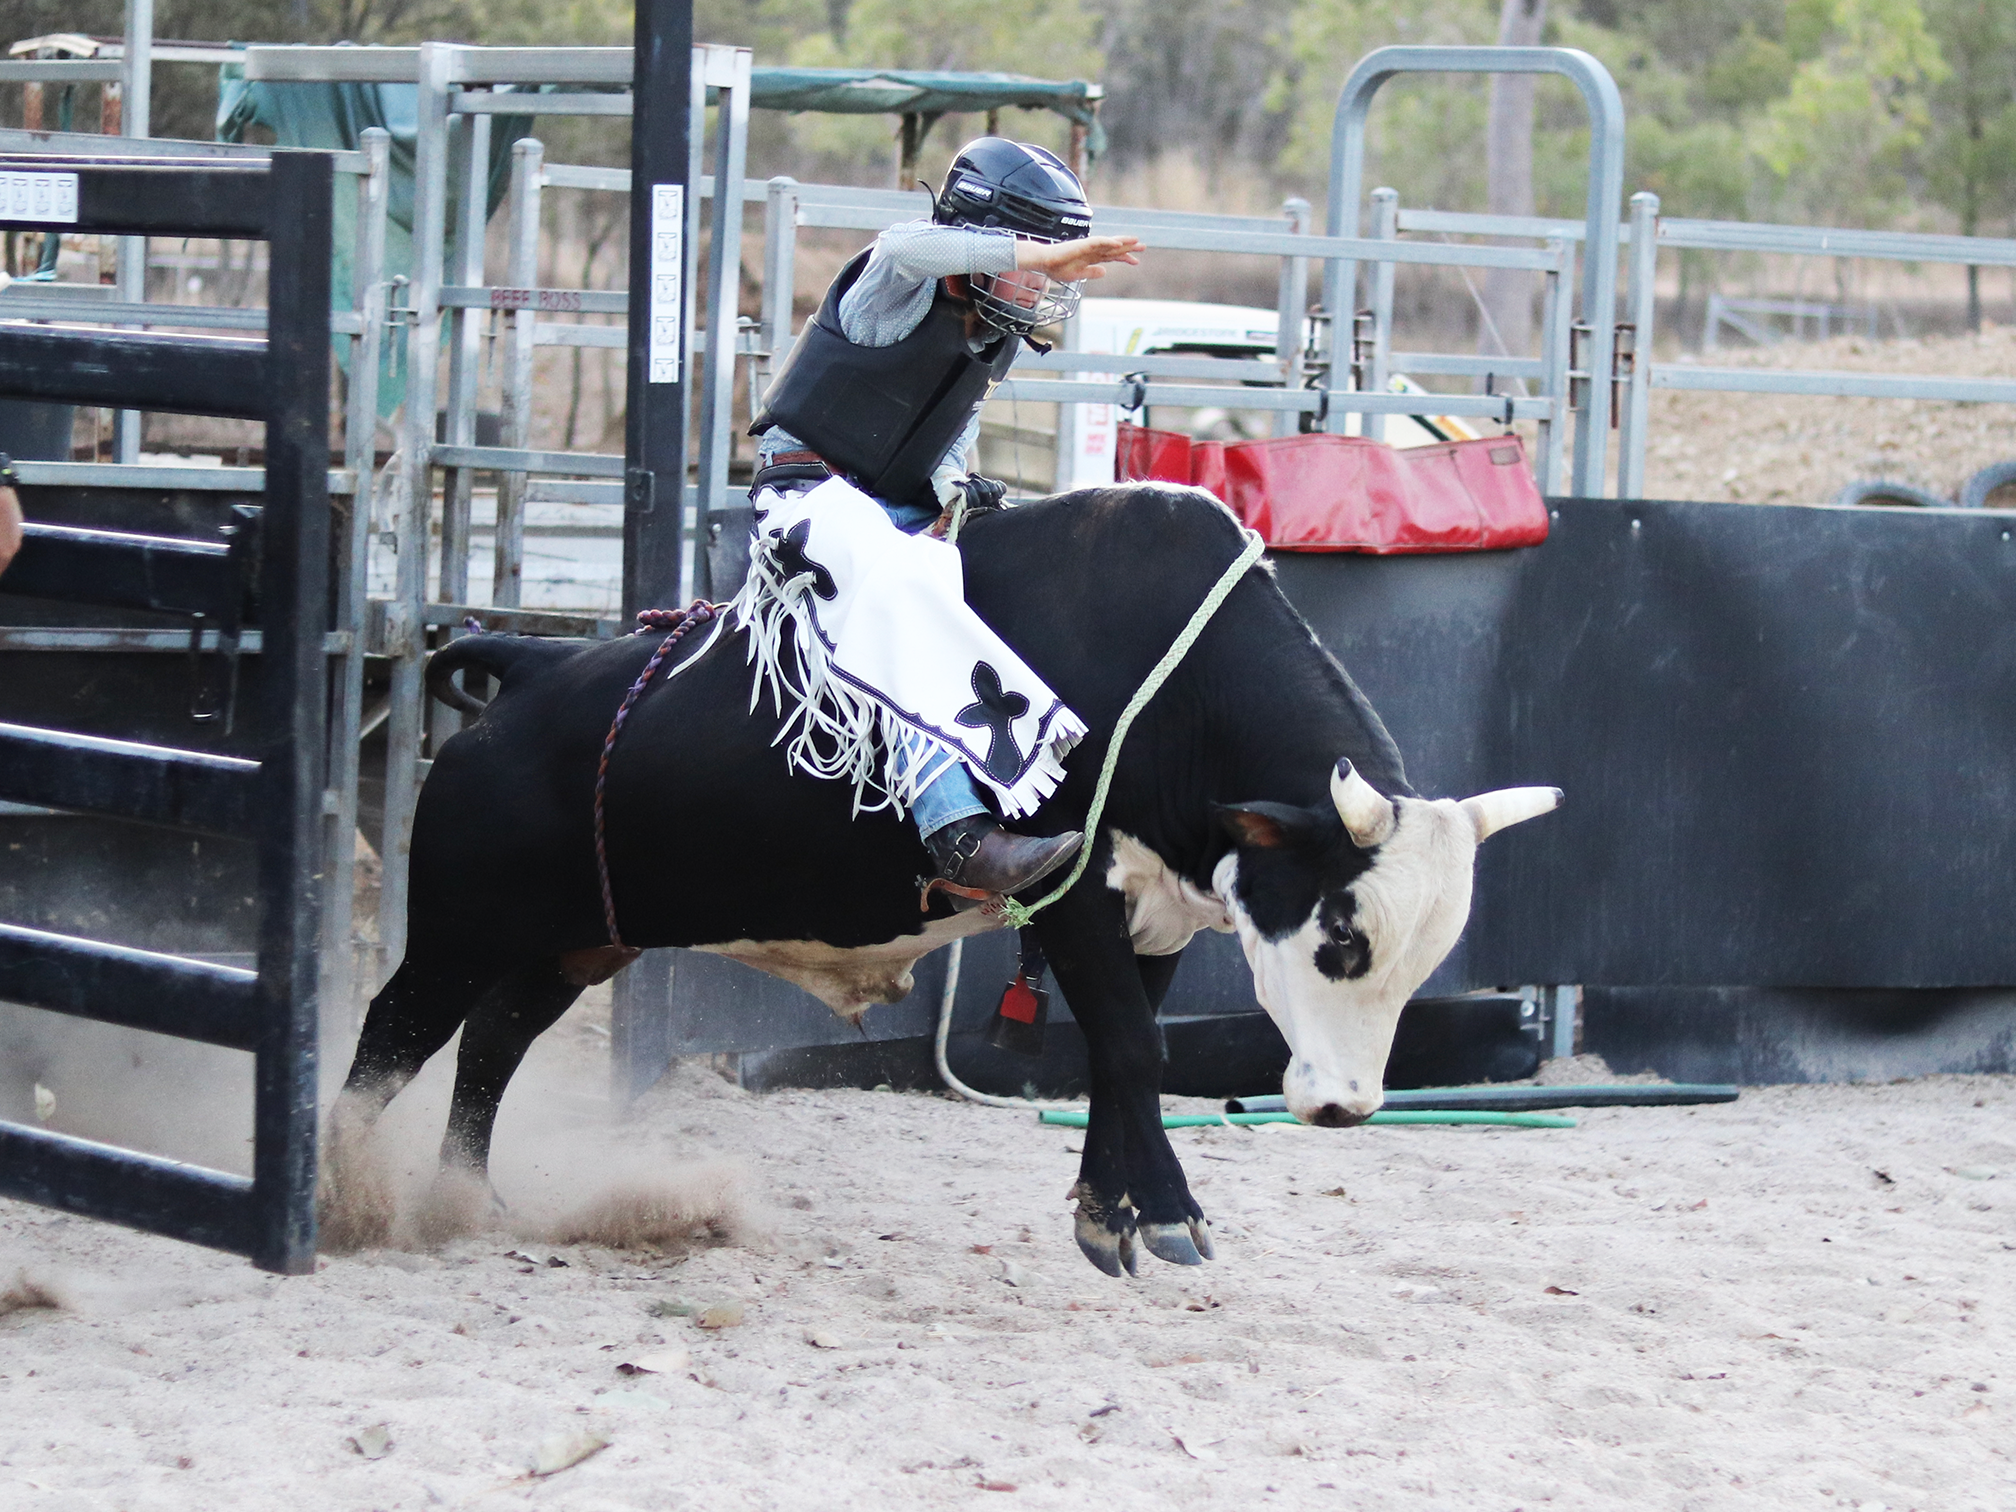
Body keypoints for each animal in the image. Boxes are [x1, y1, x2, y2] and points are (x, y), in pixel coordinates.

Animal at [330, 485, 1556, 1282]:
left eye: (1422, 959)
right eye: (1342, 933)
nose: (1346, 1107)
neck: (1171, 681)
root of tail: (527, 665)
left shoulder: (1149, 914)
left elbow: (1122, 1054)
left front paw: (1107, 1214)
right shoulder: (1073, 897)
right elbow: (1133, 1048)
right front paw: (1167, 1214)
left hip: (577, 941)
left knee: (493, 1043)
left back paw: (467, 1202)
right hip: (456, 930)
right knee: (394, 1034)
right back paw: (350, 1195)